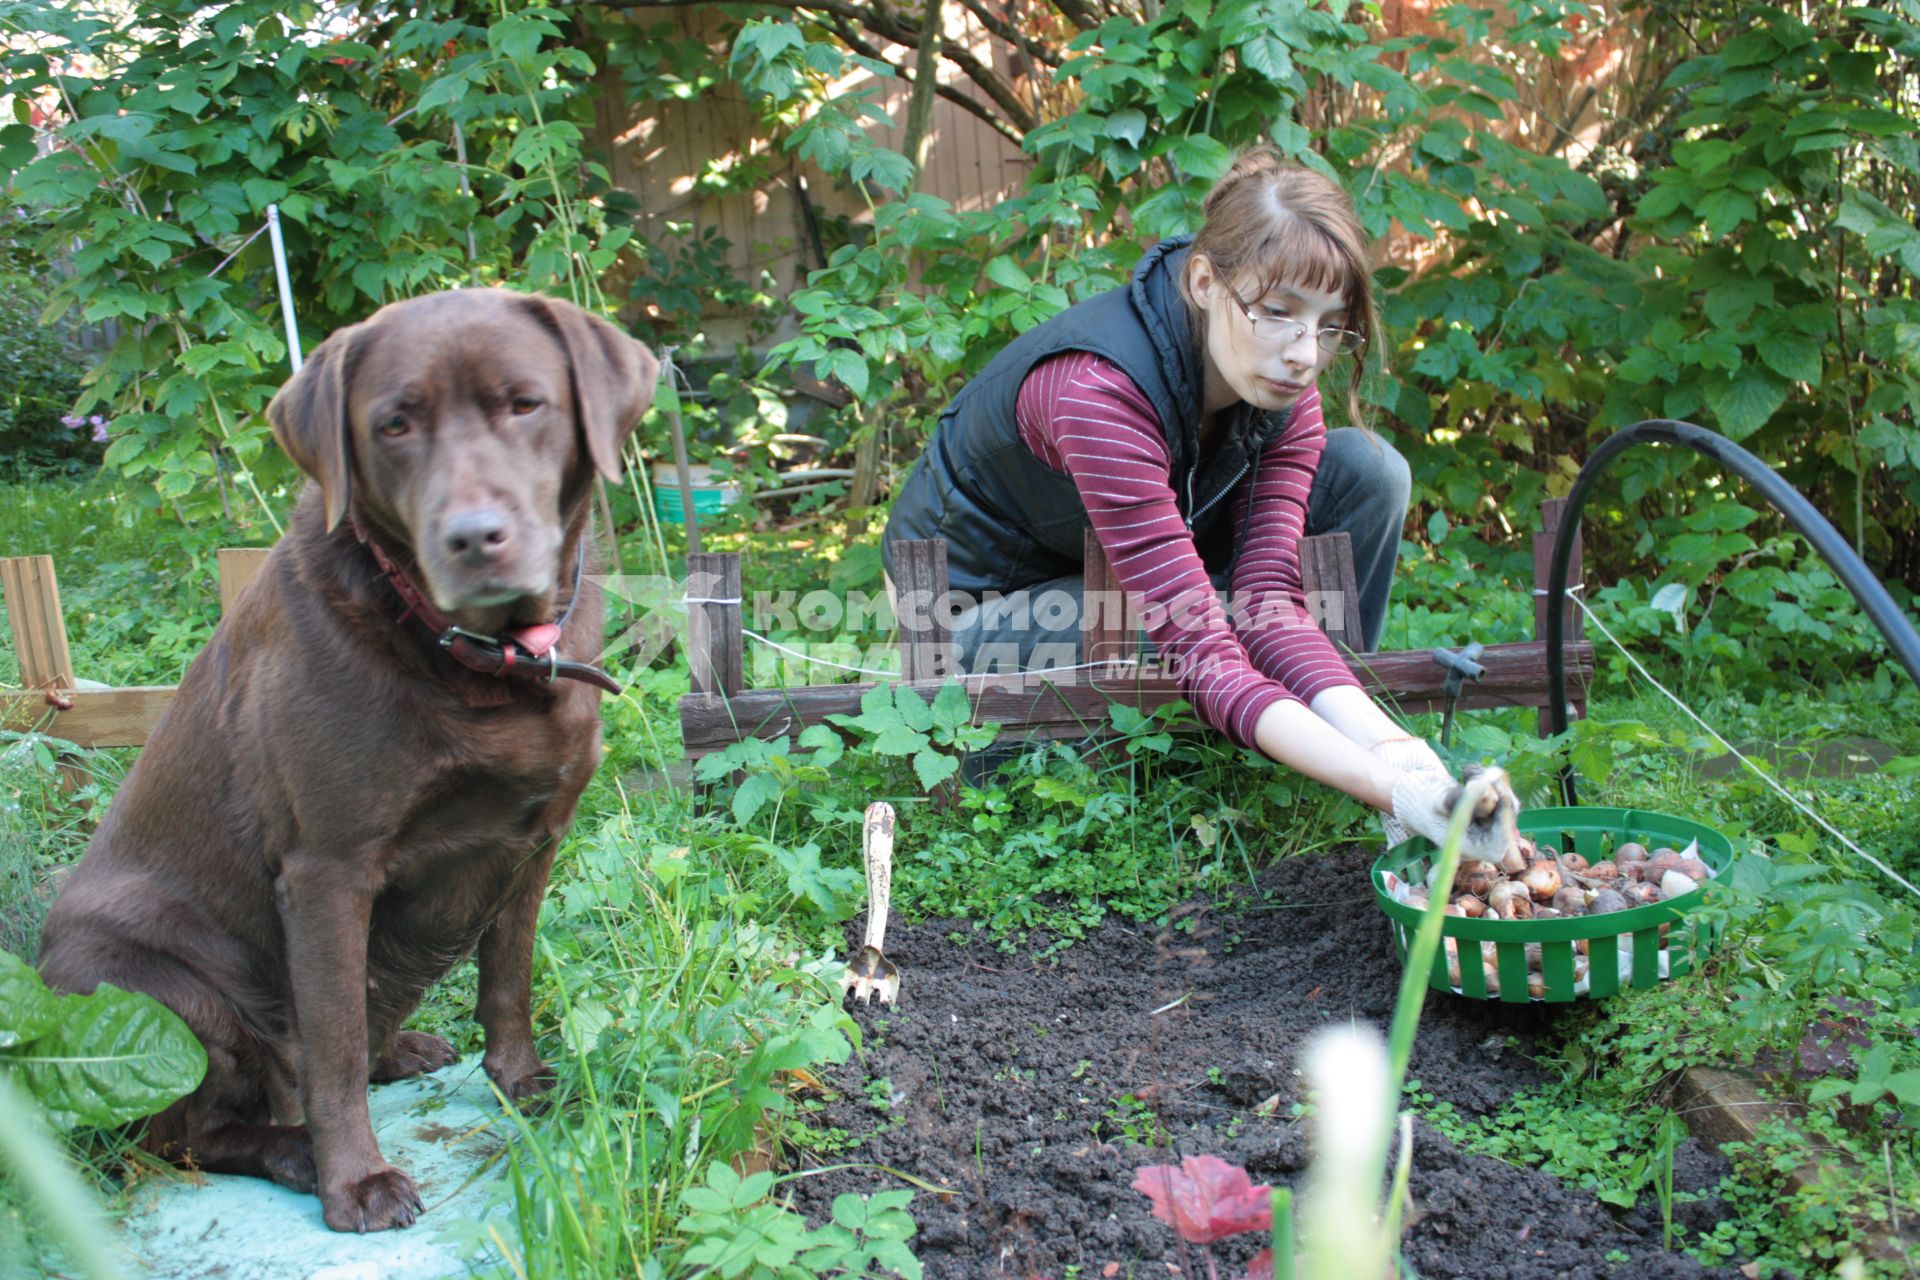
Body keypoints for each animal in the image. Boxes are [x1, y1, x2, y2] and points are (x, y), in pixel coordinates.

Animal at [31, 289, 652, 1228]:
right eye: (394, 424)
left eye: (525, 404)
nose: (474, 537)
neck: (482, 660)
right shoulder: (327, 870)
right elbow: (332, 1050)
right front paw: (354, 1179)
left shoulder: (534, 842)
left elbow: (508, 978)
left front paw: (519, 1083)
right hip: (160, 991)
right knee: (186, 1133)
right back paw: (292, 1152)